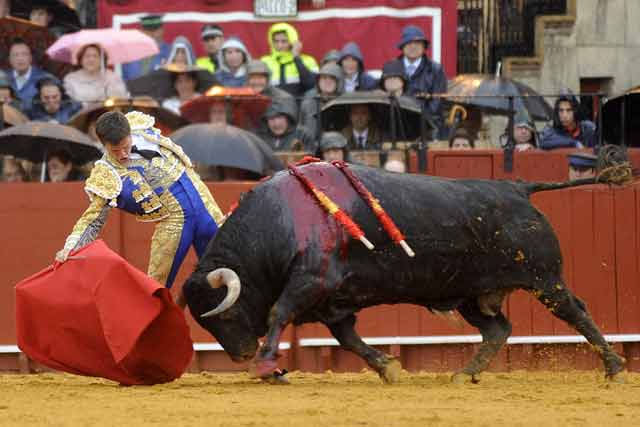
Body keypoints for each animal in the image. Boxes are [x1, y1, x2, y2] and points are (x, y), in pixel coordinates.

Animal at [182, 163, 628, 384]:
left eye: (224, 313)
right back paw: (465, 374)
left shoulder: (310, 283)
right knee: (498, 328)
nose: (240, 355)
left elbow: (278, 313)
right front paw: (388, 368)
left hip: (544, 279)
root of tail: (519, 188)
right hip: (473, 294)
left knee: (576, 312)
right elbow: (348, 339)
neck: (282, 221)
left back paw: (615, 368)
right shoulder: (332, 303)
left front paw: (265, 365)